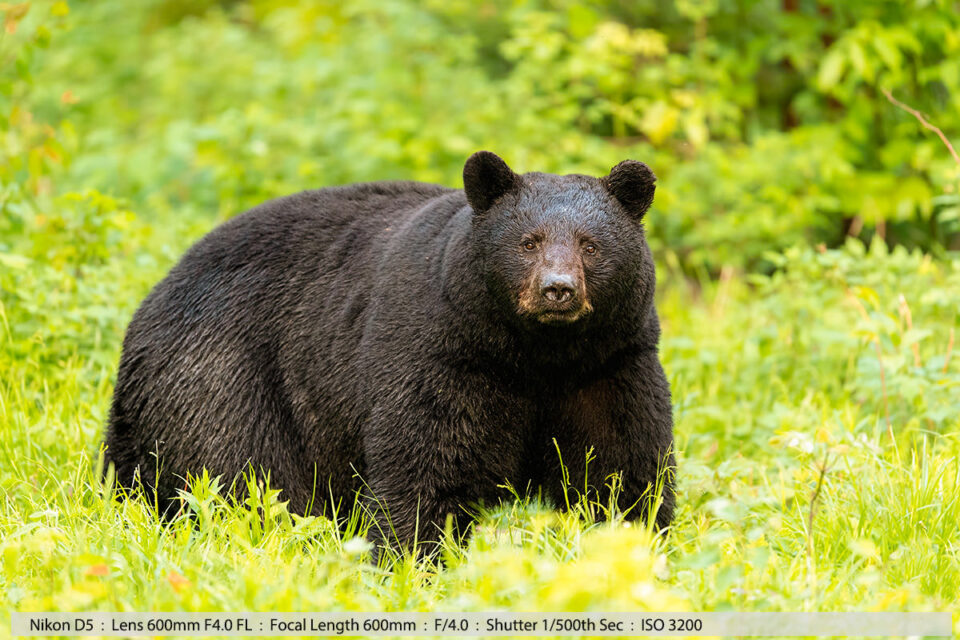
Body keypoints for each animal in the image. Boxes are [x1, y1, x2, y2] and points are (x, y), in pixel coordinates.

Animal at [105, 151, 676, 552]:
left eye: (590, 244)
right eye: (528, 242)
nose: (558, 289)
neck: (538, 355)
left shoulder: (611, 365)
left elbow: (622, 468)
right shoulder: (443, 352)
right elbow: (426, 460)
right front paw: (414, 559)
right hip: (223, 376)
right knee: (239, 476)